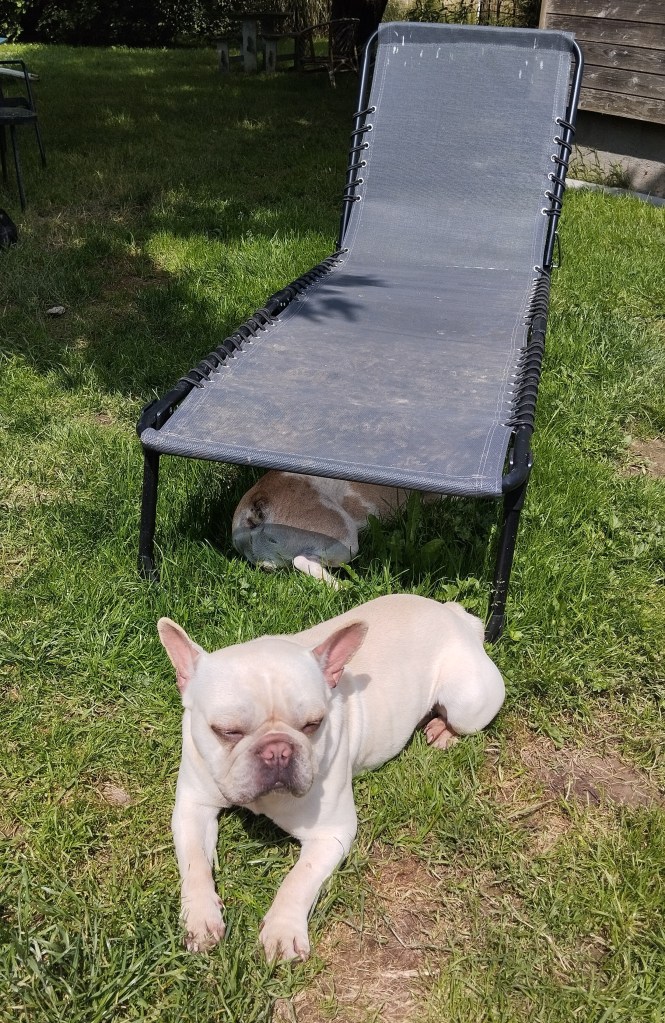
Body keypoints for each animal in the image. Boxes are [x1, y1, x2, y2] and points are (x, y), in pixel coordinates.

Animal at [158, 593, 505, 961]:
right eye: (227, 731)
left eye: (313, 724)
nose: (277, 750)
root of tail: (454, 615)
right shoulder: (192, 807)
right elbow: (195, 862)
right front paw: (200, 917)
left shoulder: (331, 832)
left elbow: (298, 879)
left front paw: (283, 931)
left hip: (467, 703)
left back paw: (442, 729)